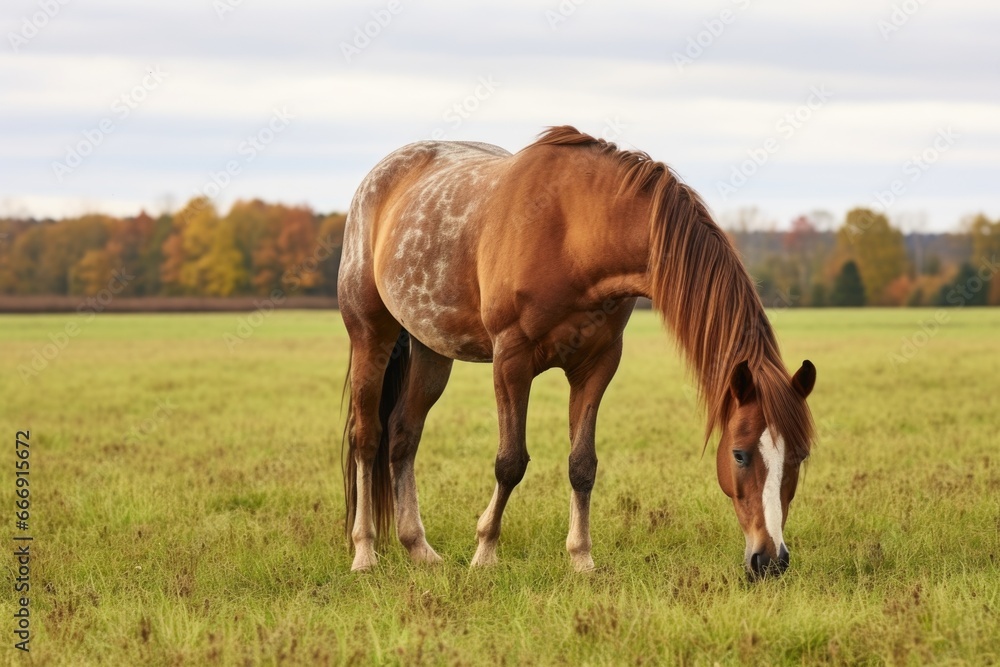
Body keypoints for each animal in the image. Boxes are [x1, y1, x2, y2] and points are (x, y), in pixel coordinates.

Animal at [338, 126, 816, 579]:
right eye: (739, 453)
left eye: (800, 455)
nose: (770, 559)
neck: (573, 231)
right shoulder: (511, 361)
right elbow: (510, 461)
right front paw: (485, 552)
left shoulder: (597, 364)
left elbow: (582, 464)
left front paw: (581, 558)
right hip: (370, 337)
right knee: (368, 437)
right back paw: (364, 553)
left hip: (432, 349)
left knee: (404, 434)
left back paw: (418, 548)